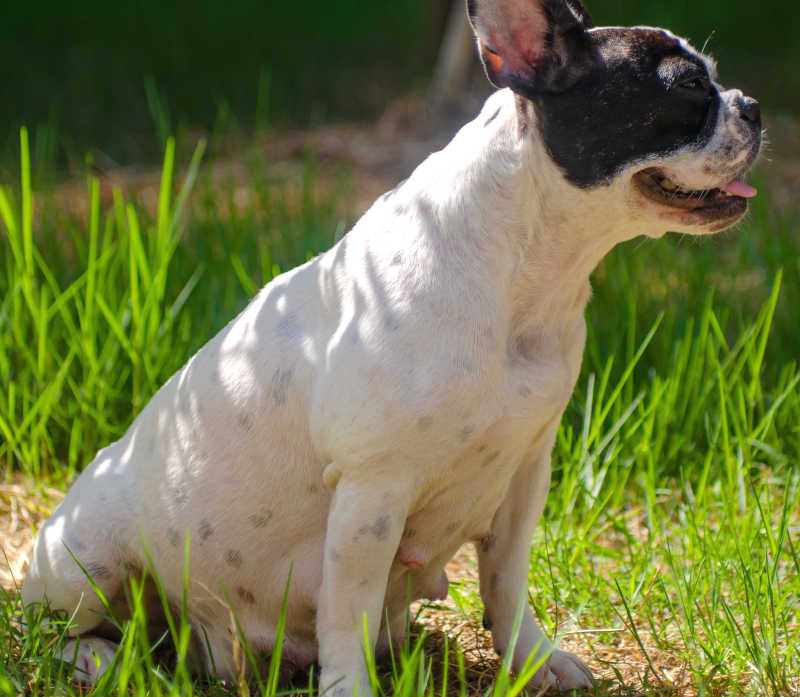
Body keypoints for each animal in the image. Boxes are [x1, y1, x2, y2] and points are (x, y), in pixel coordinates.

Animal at [23, 0, 764, 692]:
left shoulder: (524, 473)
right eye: (687, 88)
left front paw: (535, 662)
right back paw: (93, 657)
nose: (752, 105)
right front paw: (350, 686)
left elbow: (507, 584)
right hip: (84, 560)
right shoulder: (372, 492)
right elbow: (348, 605)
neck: (521, 268)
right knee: (58, 629)